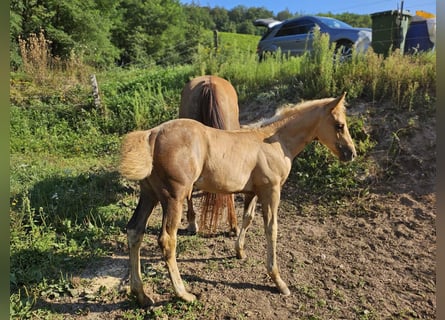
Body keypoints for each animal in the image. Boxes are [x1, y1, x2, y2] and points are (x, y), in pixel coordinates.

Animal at [118, 92, 354, 304]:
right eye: (339, 125)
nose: (351, 154)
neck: (274, 141)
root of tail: (152, 135)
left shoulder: (253, 191)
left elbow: (247, 219)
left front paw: (239, 252)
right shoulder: (272, 190)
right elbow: (272, 229)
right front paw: (278, 281)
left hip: (149, 194)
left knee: (134, 231)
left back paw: (141, 294)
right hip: (174, 197)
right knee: (167, 240)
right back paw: (184, 294)